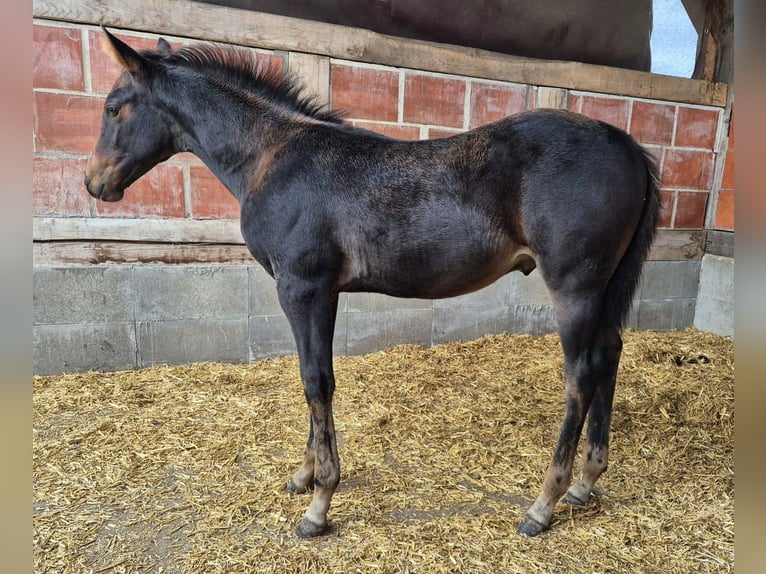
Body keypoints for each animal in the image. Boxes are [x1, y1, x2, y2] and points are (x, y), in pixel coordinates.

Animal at [85, 29, 660, 539]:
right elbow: (314, 378)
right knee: (610, 355)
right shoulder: (324, 292)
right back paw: (586, 483)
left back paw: (544, 504)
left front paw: (319, 503)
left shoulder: (302, 286)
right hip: (603, 289)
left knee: (581, 376)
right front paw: (304, 475)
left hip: (575, 286)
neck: (273, 156)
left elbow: (316, 381)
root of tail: (629, 145)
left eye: (113, 108)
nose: (94, 183)